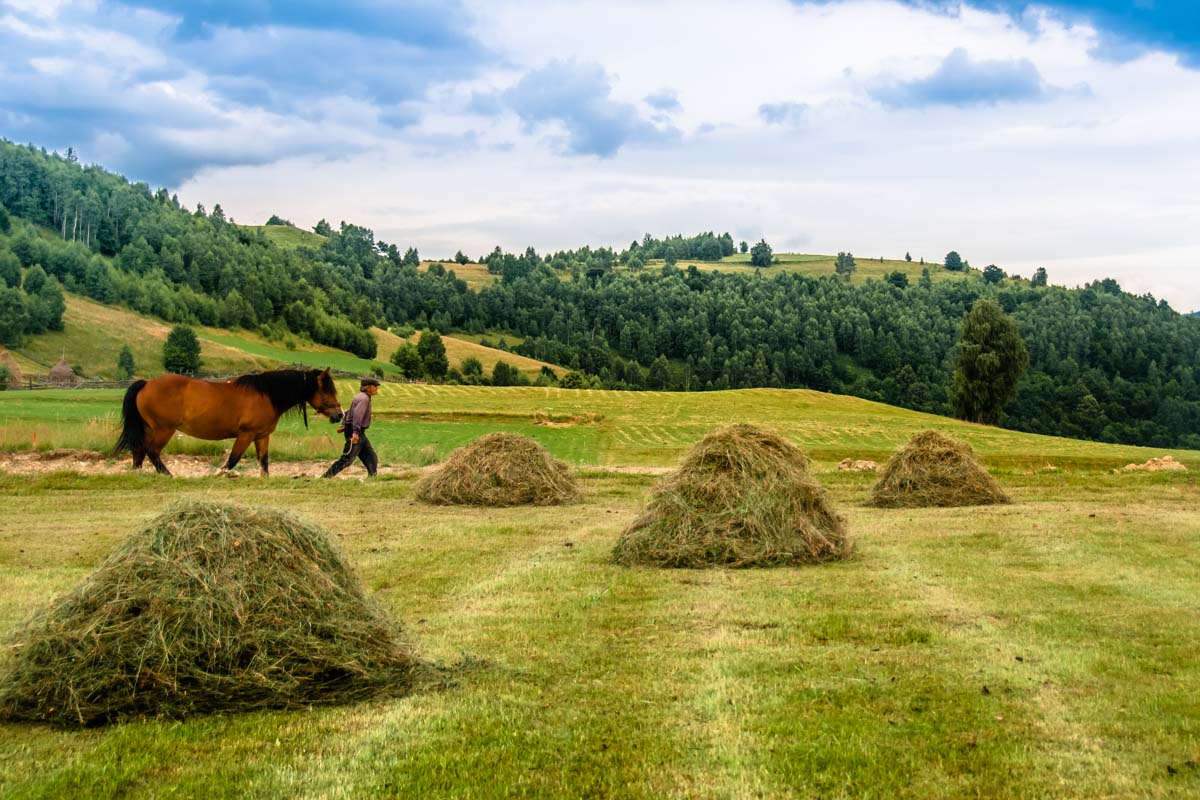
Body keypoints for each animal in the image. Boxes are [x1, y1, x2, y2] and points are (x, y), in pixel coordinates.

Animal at [114, 369, 343, 474]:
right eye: (326, 391)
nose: (339, 414)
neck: (267, 395)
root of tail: (146, 383)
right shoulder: (246, 434)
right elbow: (232, 460)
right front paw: (218, 474)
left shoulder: (261, 436)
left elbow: (264, 463)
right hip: (164, 429)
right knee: (152, 451)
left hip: (149, 428)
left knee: (139, 451)